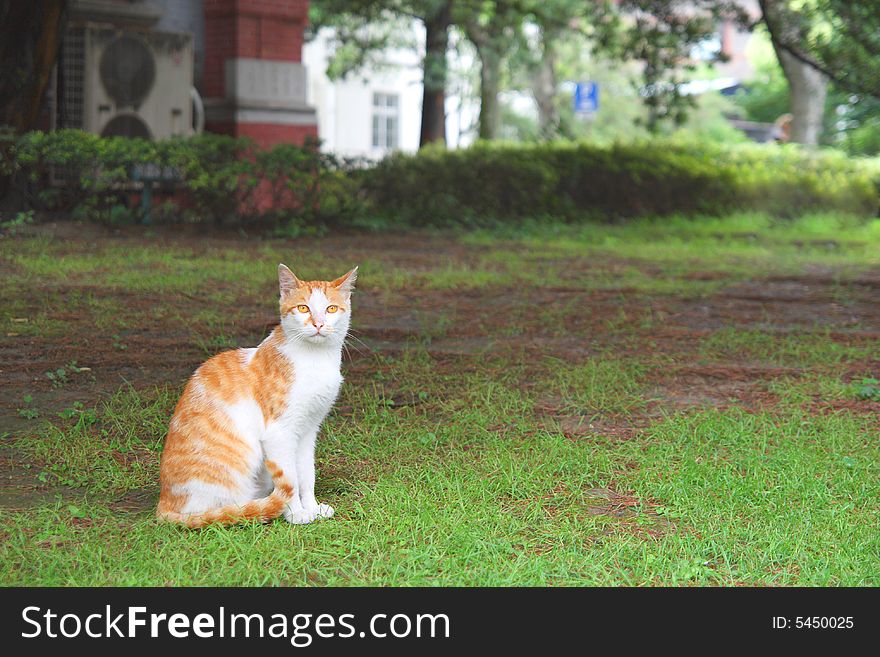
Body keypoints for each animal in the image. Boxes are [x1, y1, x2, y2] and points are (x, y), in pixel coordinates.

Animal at [156, 264, 356, 524]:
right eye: (303, 308)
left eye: (331, 309)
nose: (319, 324)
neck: (315, 358)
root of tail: (164, 503)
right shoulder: (279, 433)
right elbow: (290, 477)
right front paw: (296, 513)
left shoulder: (308, 429)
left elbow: (306, 473)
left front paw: (312, 507)